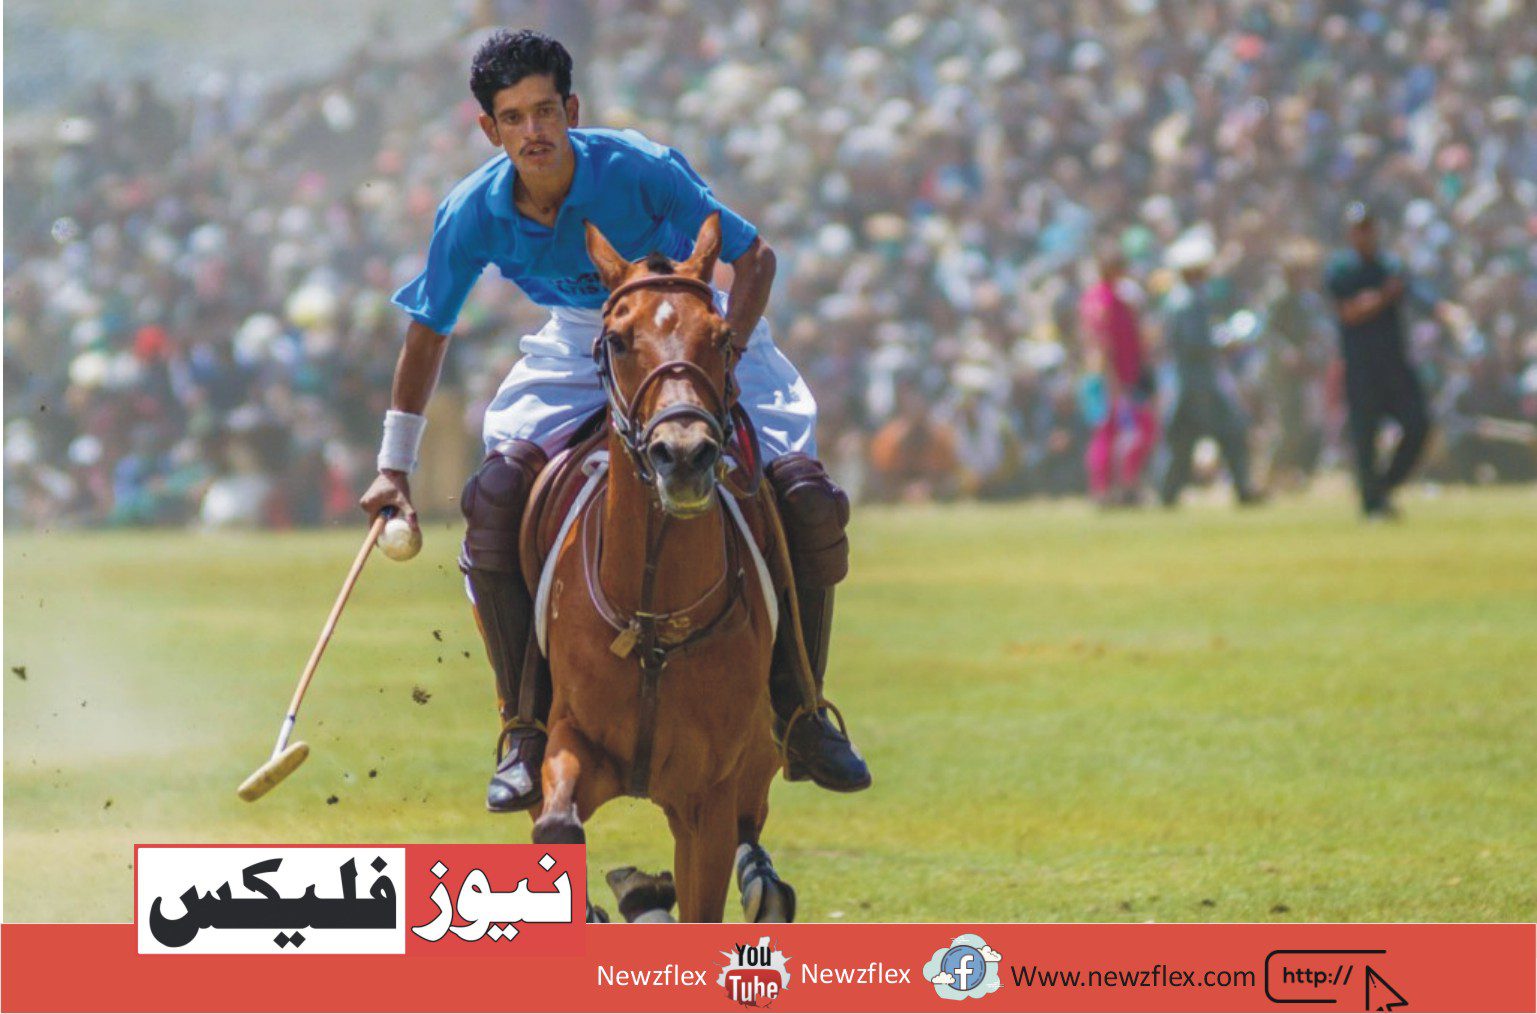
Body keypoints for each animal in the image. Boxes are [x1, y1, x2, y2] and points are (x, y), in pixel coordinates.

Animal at [528, 216, 793, 927]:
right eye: (619, 341)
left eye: (723, 338)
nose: (685, 455)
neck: (652, 617)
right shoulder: (571, 737)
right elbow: (557, 826)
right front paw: (619, 897)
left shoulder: (709, 795)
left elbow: (706, 894)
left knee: (753, 824)